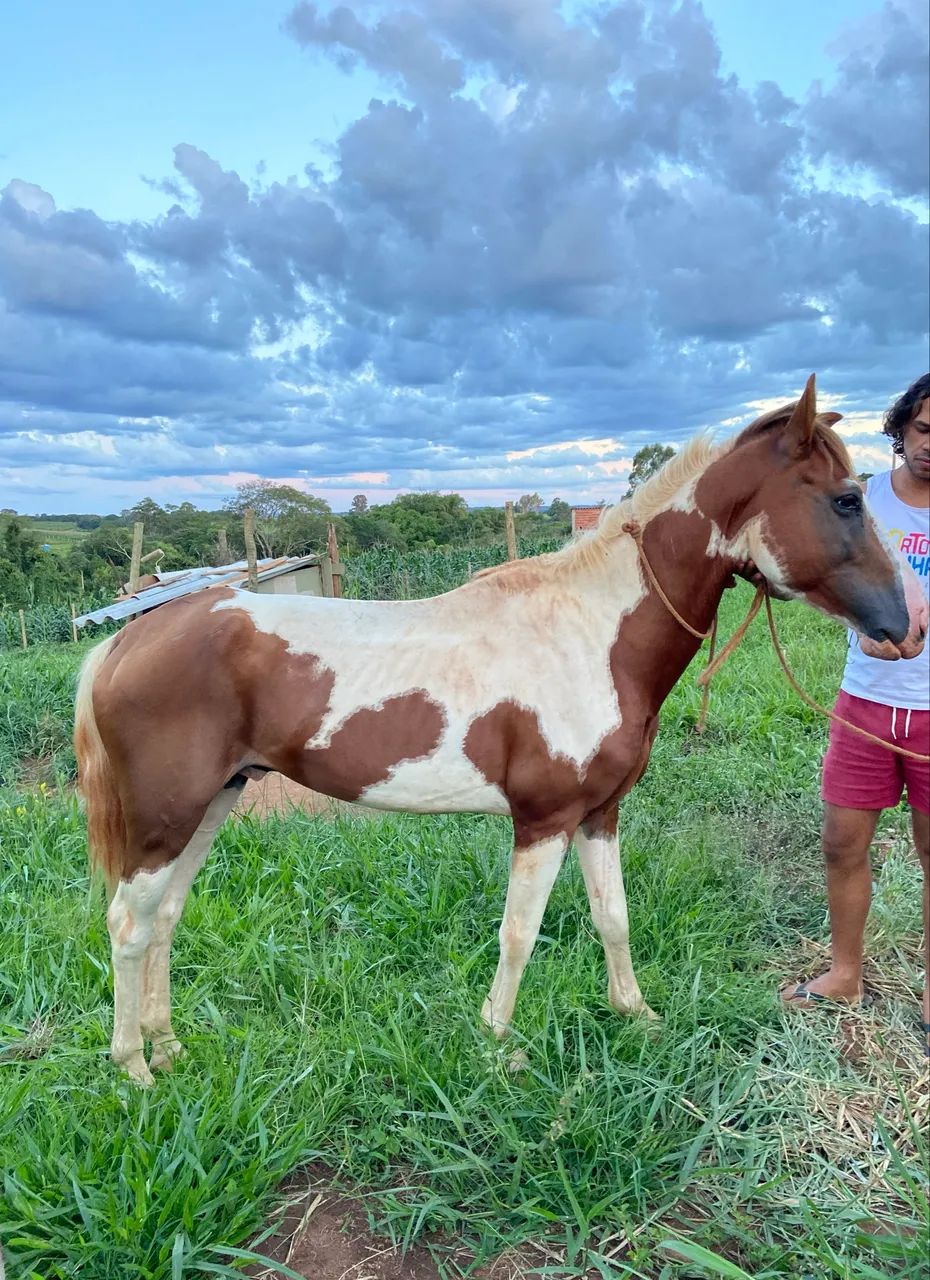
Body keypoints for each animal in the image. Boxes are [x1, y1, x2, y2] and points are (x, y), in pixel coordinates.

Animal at [74, 376, 924, 1085]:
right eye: (846, 501)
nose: (903, 625)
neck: (592, 635)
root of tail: (126, 640)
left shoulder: (600, 813)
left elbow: (613, 918)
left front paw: (636, 1016)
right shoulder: (542, 819)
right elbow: (521, 932)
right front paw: (500, 1045)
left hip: (214, 801)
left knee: (165, 916)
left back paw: (169, 1047)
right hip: (167, 817)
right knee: (126, 921)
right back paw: (134, 1068)